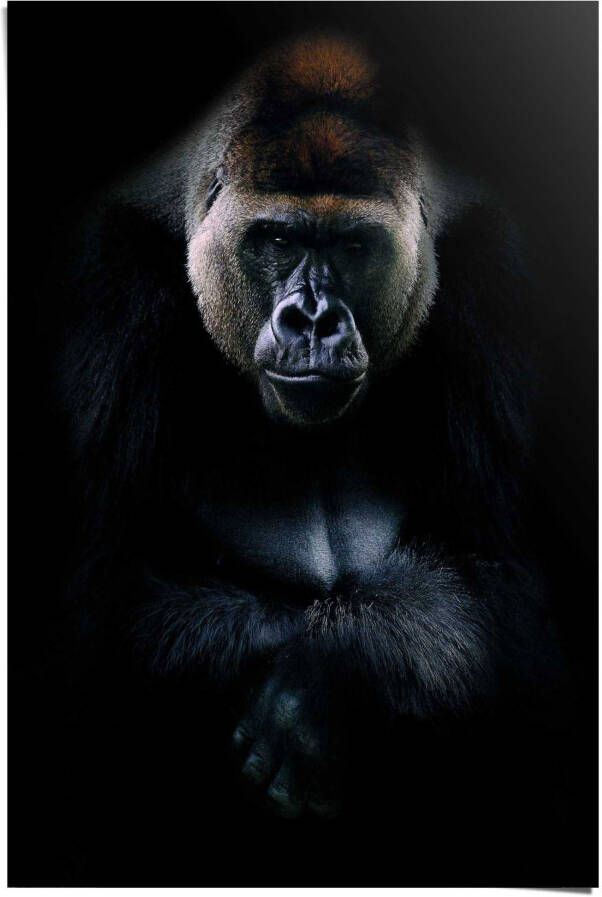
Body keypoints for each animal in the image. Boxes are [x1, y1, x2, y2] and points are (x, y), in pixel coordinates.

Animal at [55, 33, 564, 834]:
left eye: (354, 246)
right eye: (276, 239)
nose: (315, 321)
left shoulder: (495, 273)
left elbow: (508, 587)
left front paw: (329, 676)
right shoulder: (108, 284)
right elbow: (102, 604)